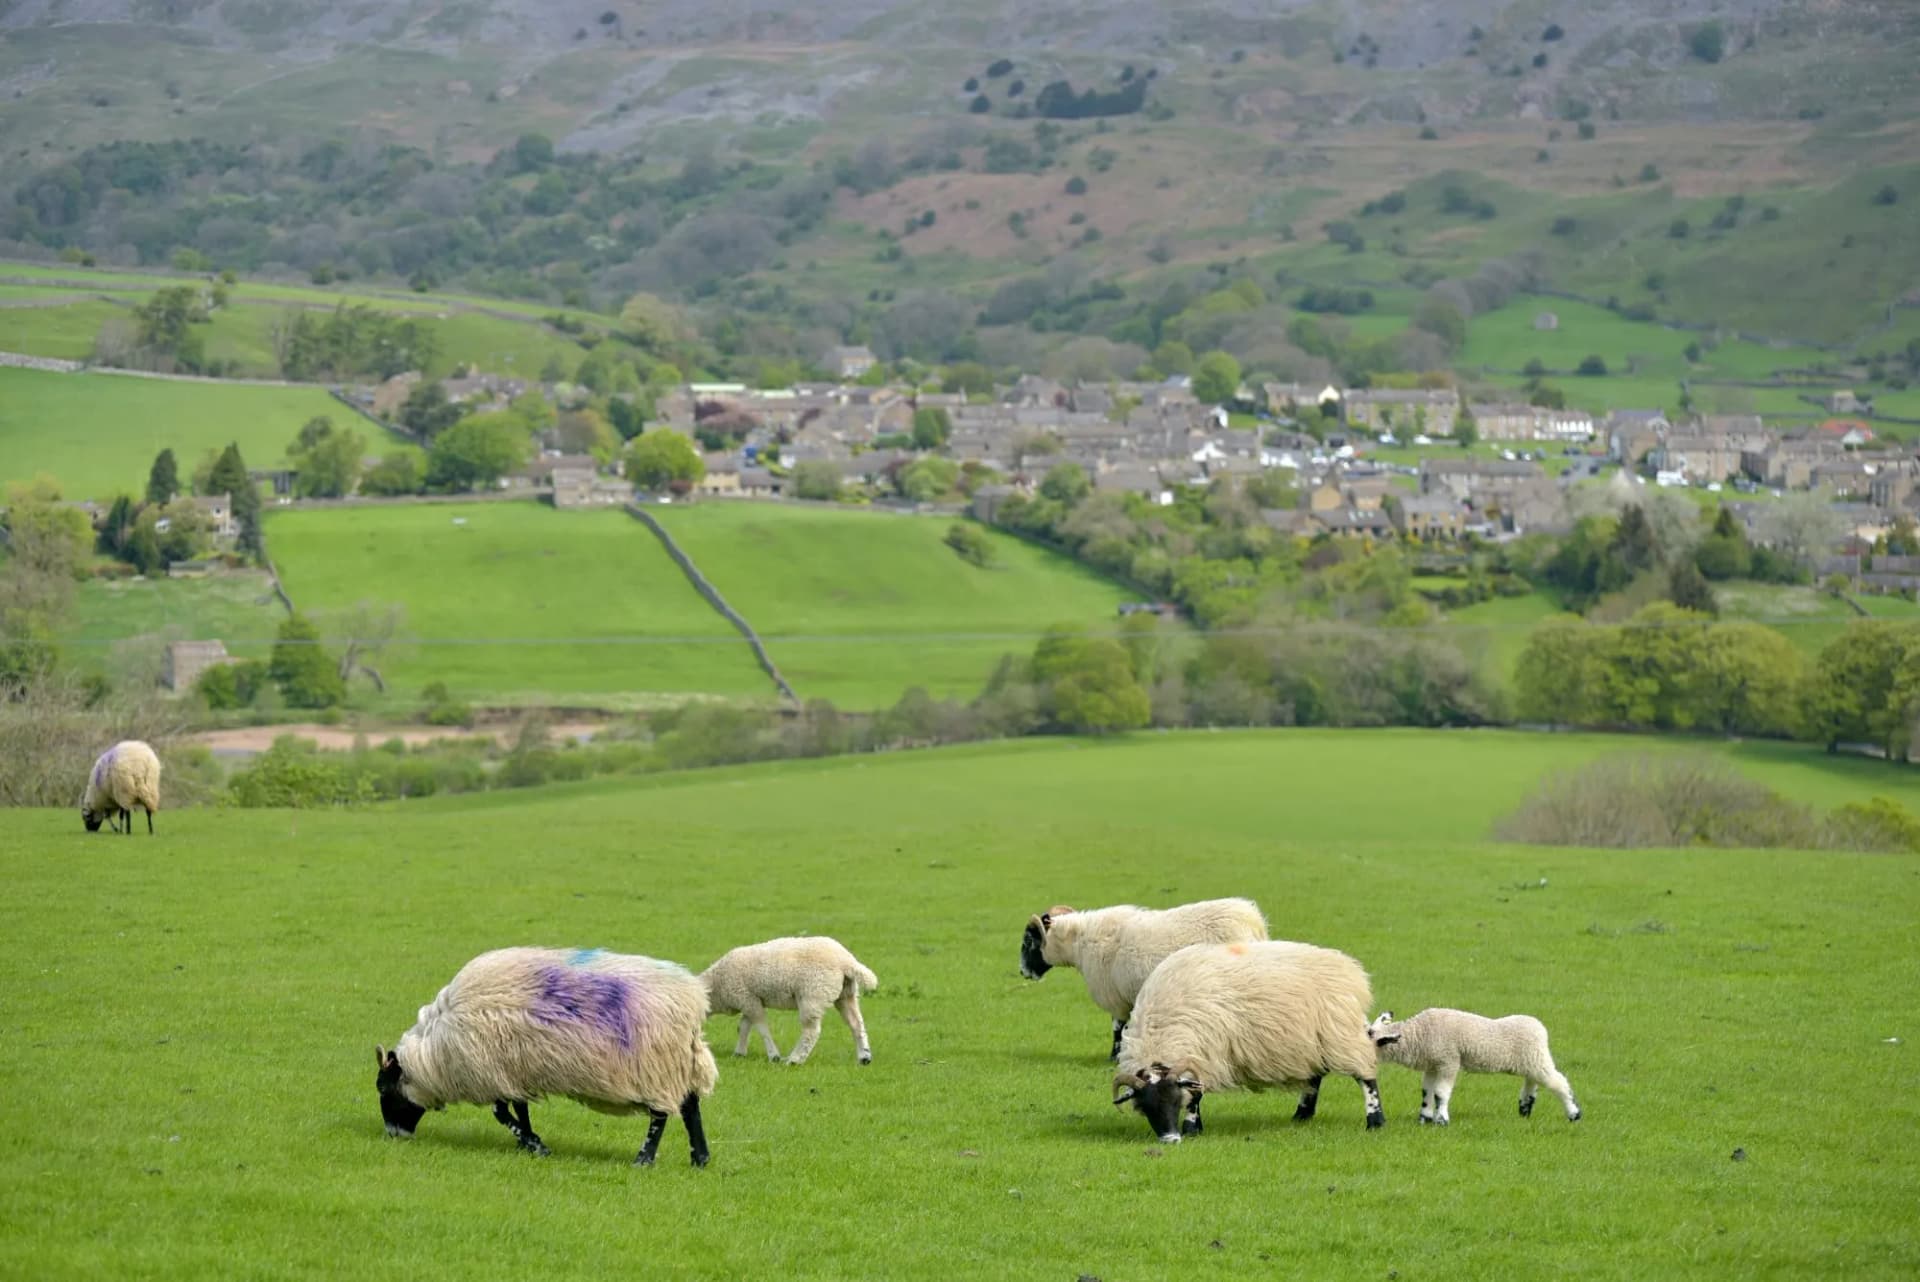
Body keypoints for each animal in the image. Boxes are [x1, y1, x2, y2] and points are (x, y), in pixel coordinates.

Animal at [375, 946, 720, 1168]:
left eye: (383, 1088)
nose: (393, 1135)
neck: (433, 1052)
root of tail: (693, 1001)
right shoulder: (514, 1072)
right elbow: (520, 1110)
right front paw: (528, 1141)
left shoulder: (491, 1071)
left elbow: (502, 1114)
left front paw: (535, 1145)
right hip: (679, 1062)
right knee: (690, 1106)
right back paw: (699, 1158)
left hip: (656, 1067)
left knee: (661, 1115)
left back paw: (644, 1159)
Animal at [700, 935, 879, 1065]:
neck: (716, 985)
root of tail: (847, 961)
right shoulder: (749, 1001)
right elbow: (743, 1027)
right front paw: (739, 1052)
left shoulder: (747, 999)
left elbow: (761, 1028)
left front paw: (774, 1056)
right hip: (846, 994)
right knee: (856, 1023)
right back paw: (864, 1057)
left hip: (813, 995)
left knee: (811, 1031)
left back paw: (794, 1060)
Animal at [1019, 897, 1269, 1059]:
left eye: (1029, 941)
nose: (1023, 972)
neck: (1078, 943)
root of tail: (1254, 924)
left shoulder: (1115, 998)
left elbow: (1117, 1028)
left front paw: (1114, 1056)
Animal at [1113, 940, 1383, 1142]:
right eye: (1146, 1106)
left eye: (1175, 1099)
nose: (1170, 1139)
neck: (1161, 1031)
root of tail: (1350, 968)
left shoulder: (1206, 1055)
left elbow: (1196, 1095)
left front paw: (1191, 1129)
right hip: (1309, 1041)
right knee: (1315, 1076)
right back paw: (1302, 1115)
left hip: (1340, 1033)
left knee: (1365, 1076)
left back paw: (1375, 1120)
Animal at [1366, 1008, 1581, 1125]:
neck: (1418, 1034)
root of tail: (1539, 1027)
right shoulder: (1433, 1064)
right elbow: (1427, 1092)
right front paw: (1424, 1118)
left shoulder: (1448, 1061)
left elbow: (1440, 1093)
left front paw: (1441, 1120)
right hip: (1531, 1061)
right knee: (1533, 1082)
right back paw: (1524, 1109)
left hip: (1537, 1057)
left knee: (1558, 1082)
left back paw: (1574, 1113)